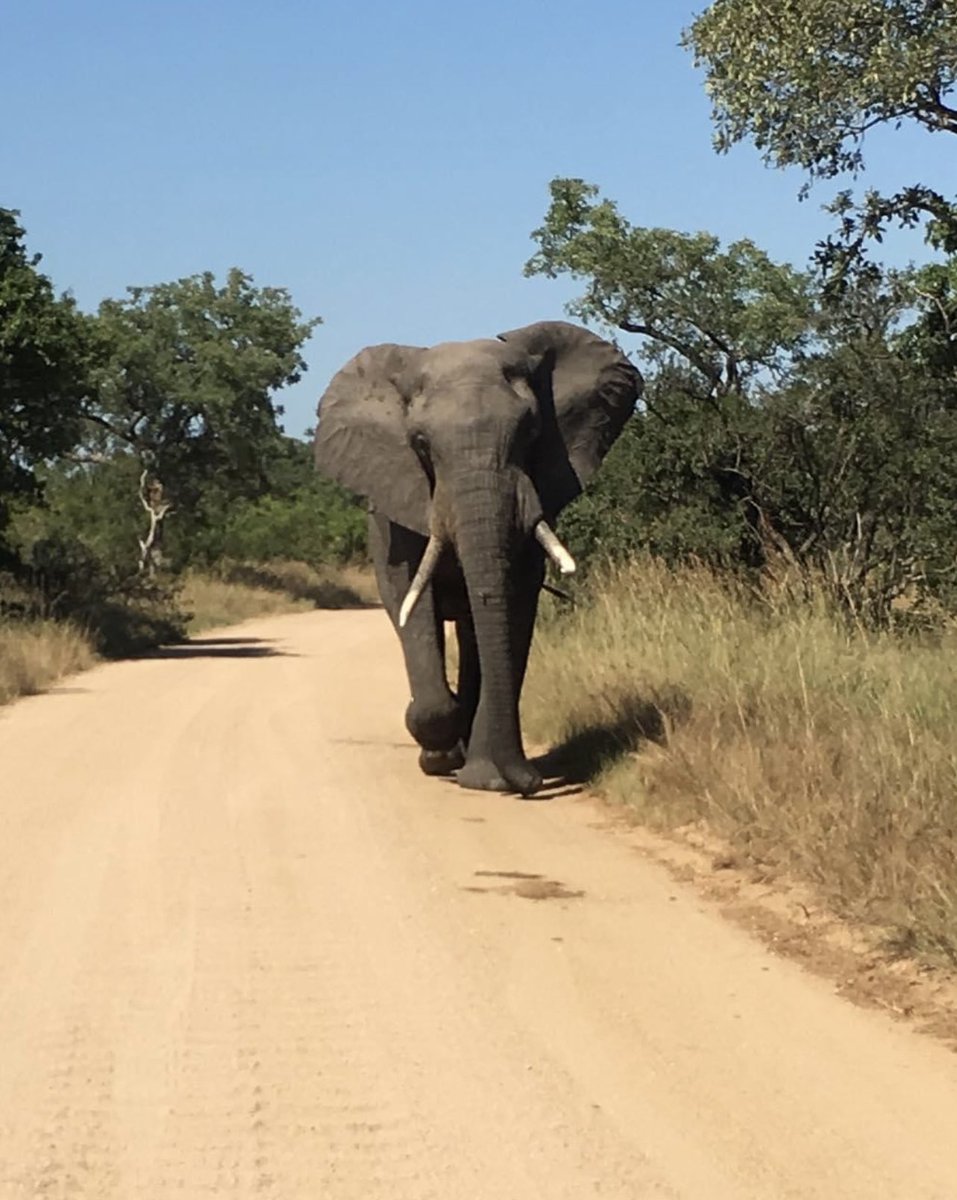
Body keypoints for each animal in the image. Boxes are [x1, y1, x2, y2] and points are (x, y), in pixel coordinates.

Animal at [316, 319, 642, 796]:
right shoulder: (396, 503)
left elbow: (516, 601)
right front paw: (437, 750)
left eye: (530, 433)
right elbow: (407, 598)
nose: (529, 782)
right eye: (420, 443)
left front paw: (488, 781)